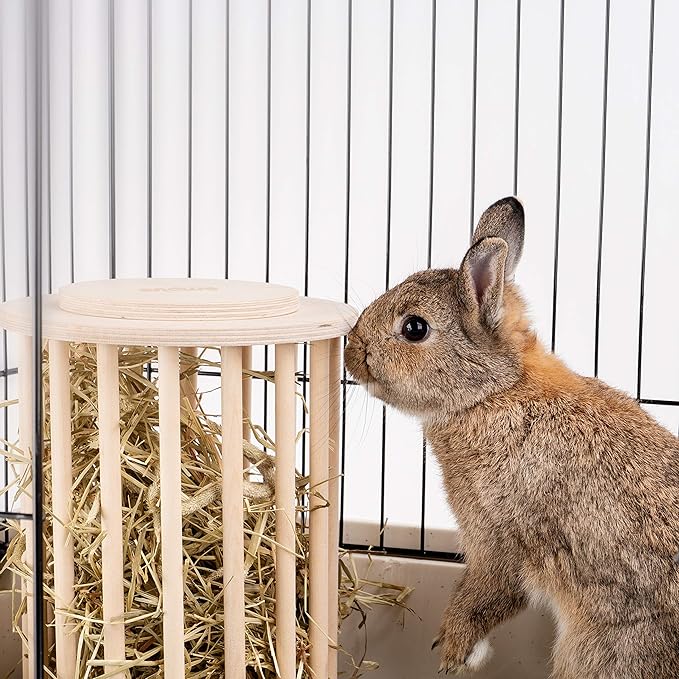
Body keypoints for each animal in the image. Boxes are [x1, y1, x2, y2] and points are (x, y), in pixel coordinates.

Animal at [344, 196, 679, 679]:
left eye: (414, 328)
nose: (351, 350)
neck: (496, 391)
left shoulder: (496, 536)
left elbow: (486, 595)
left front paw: (453, 651)